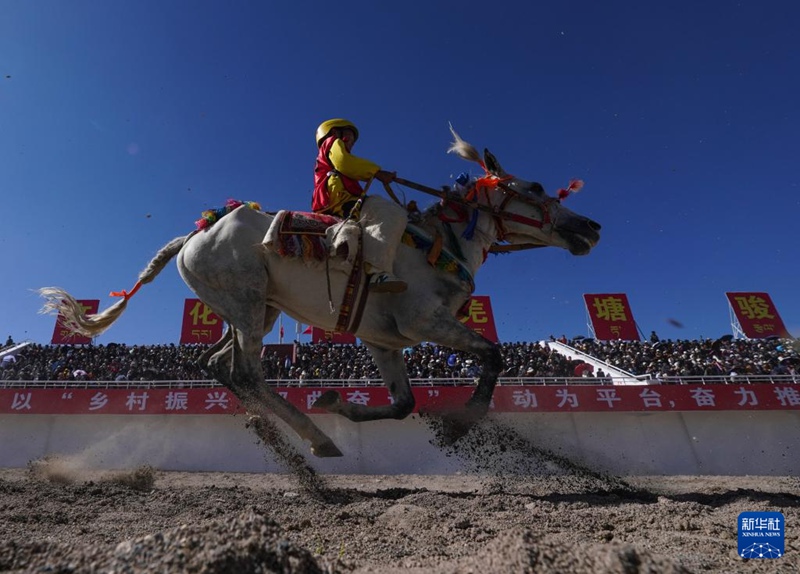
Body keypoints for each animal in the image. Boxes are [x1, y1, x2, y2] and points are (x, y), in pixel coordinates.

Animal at [39, 129, 600, 460]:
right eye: (535, 188)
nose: (590, 227)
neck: (437, 243)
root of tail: (193, 236)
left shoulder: (383, 341)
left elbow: (403, 403)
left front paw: (338, 402)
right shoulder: (424, 322)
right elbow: (492, 354)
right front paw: (462, 423)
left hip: (252, 310)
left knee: (219, 365)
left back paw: (288, 432)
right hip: (247, 303)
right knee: (247, 372)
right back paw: (316, 438)